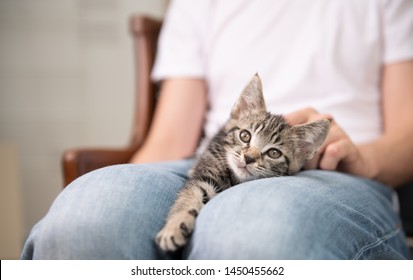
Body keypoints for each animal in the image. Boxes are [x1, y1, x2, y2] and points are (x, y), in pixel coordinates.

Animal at [156, 74, 330, 252]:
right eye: (245, 135)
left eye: (274, 153)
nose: (248, 158)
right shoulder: (207, 169)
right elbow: (190, 196)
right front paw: (175, 225)